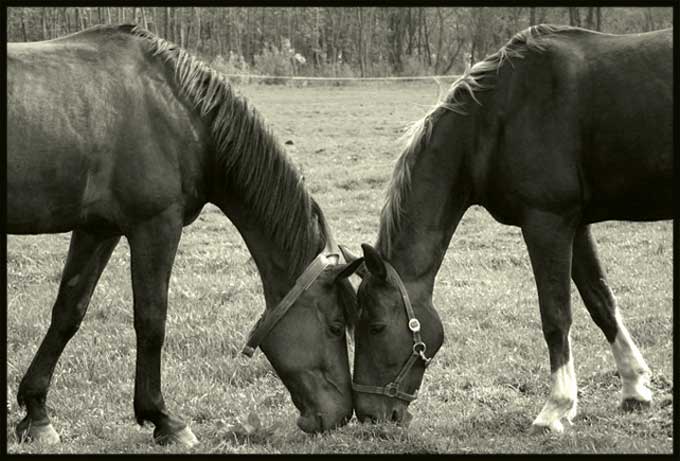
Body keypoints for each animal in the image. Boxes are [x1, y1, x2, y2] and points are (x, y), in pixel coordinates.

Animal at [6, 25, 362, 446]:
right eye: (336, 326)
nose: (341, 414)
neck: (180, 112)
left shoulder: (98, 229)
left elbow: (68, 312)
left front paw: (36, 413)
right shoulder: (156, 225)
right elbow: (151, 320)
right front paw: (163, 418)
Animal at [342, 25, 672, 434]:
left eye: (375, 327)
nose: (370, 415)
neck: (497, 117)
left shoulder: (547, 223)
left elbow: (555, 316)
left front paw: (555, 408)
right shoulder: (575, 226)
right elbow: (601, 302)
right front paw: (634, 388)